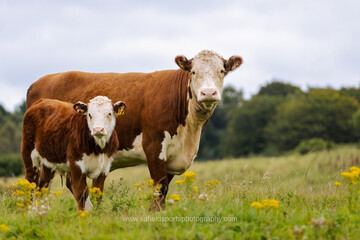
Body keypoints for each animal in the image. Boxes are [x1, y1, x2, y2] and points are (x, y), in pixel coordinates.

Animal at [26, 49, 243, 210]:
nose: (208, 93)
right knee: (37, 183)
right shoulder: (154, 146)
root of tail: (39, 81)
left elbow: (164, 189)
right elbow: (159, 187)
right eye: (193, 72)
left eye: (221, 71)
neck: (189, 133)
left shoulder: (174, 156)